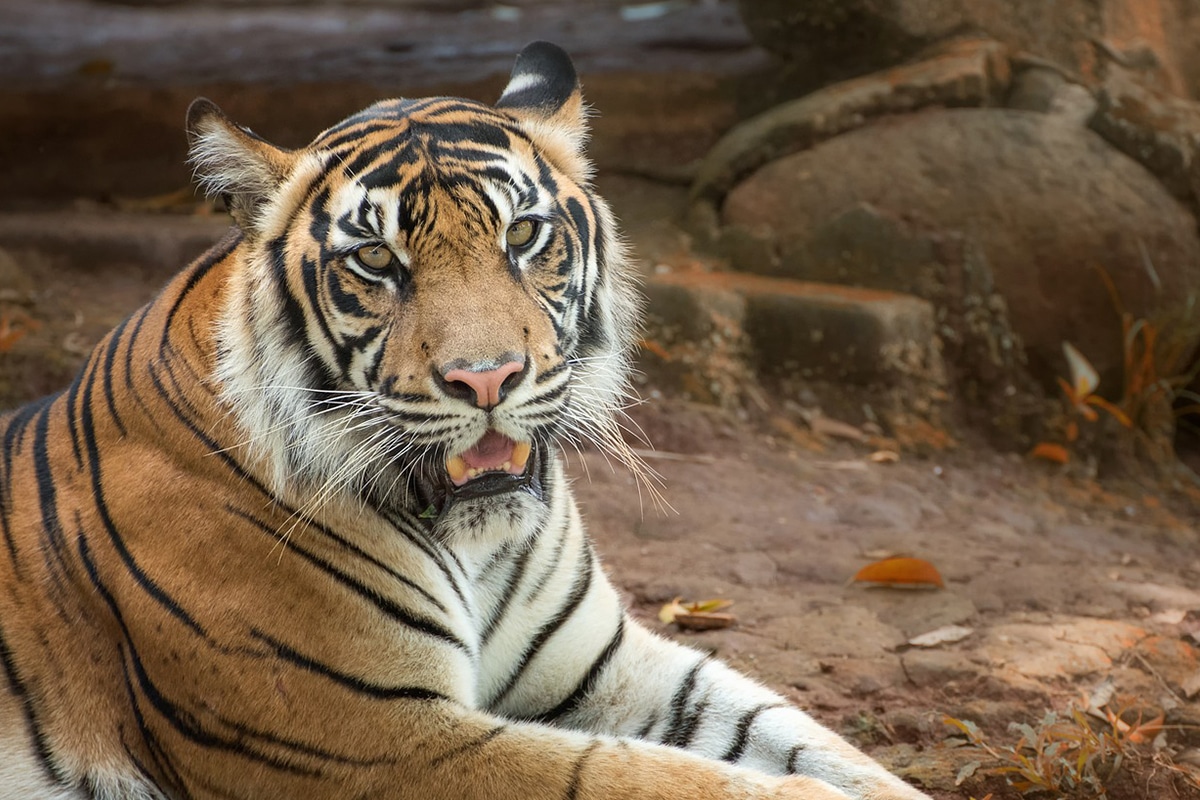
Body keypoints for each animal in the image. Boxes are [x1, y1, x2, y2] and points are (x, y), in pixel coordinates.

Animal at [0, 42, 926, 800]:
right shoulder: (373, 738)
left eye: (523, 235)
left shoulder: (608, 664)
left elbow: (812, 745)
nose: (487, 379)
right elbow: (653, 780)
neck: (477, 546)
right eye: (376, 259)